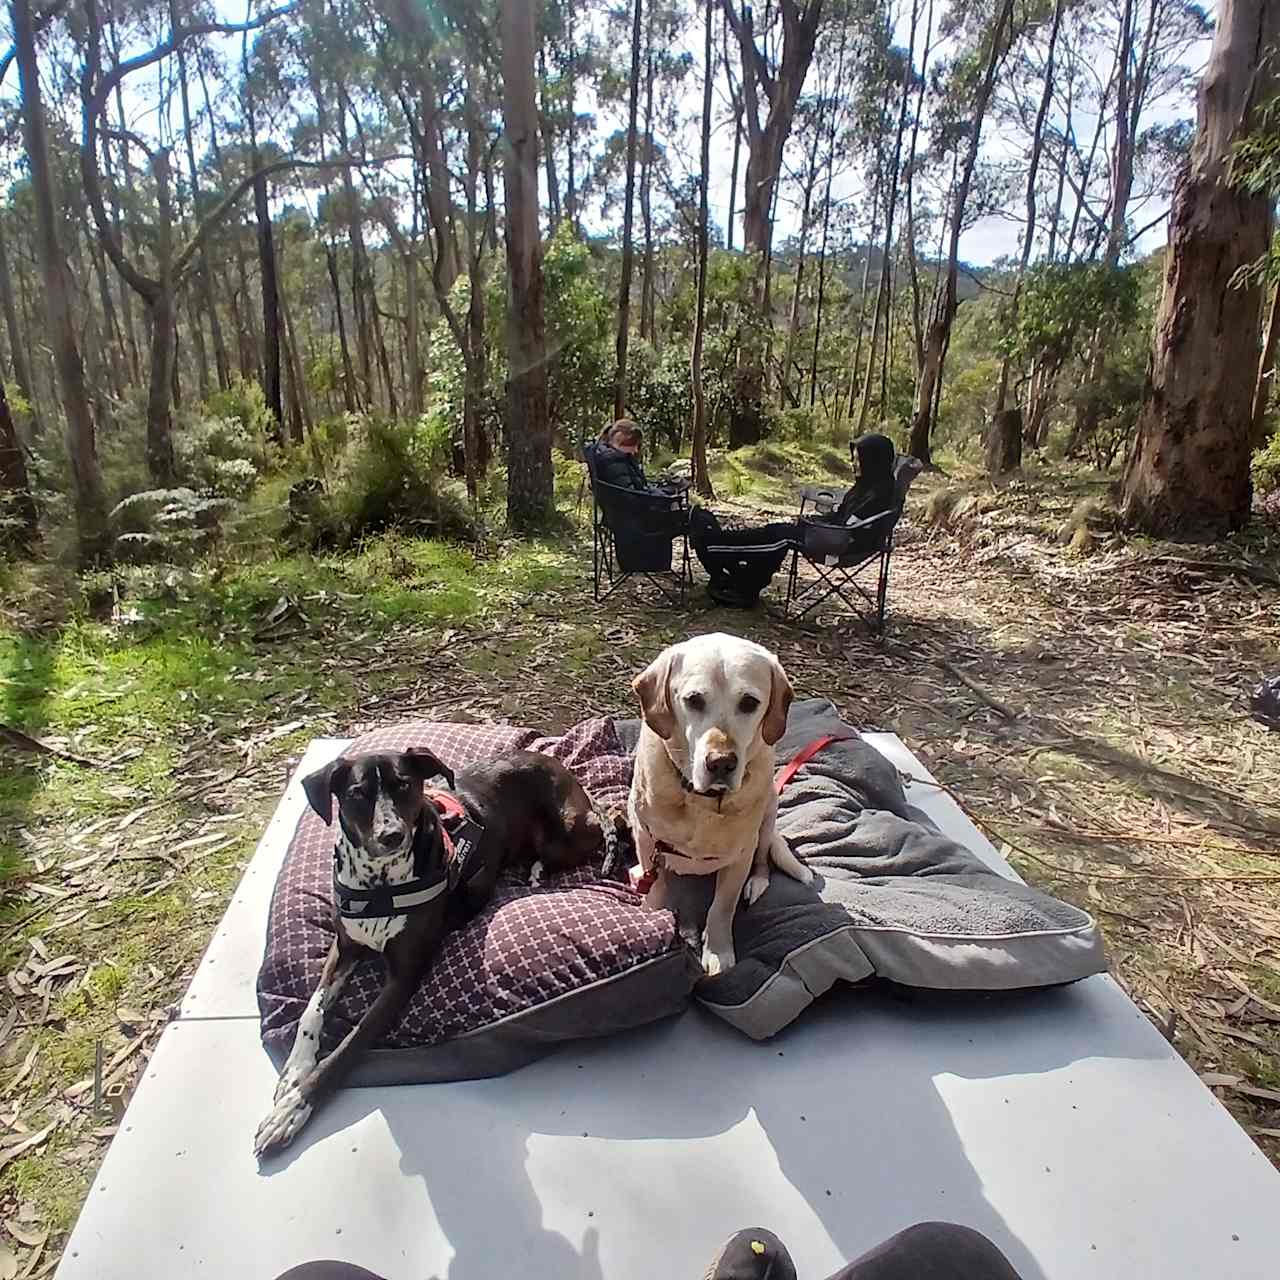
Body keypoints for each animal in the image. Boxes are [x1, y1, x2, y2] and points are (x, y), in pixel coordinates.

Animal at [254, 747, 614, 1162]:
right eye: (357, 794)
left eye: (405, 786)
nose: (391, 836)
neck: (380, 884)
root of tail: (549, 759)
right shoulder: (345, 948)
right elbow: (311, 1012)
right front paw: (295, 1070)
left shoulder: (403, 978)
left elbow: (347, 1047)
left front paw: (292, 1110)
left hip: (568, 829)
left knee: (604, 825)